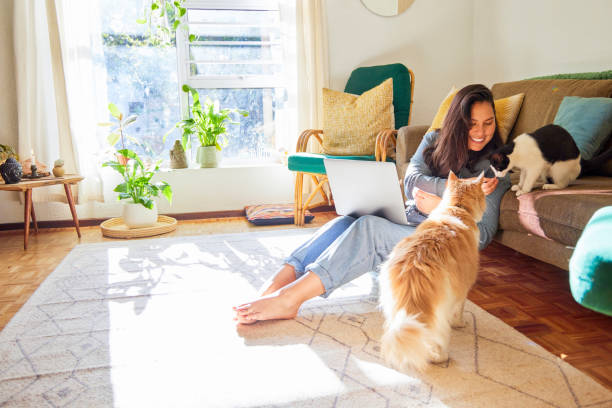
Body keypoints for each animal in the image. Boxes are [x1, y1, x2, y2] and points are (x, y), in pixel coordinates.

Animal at [380, 171, 486, 372]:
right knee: (436, 337)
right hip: (439, 311)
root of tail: (415, 264)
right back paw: (440, 357)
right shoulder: (463, 288)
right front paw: (460, 323)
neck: (457, 208)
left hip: (395, 307)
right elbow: (460, 310)